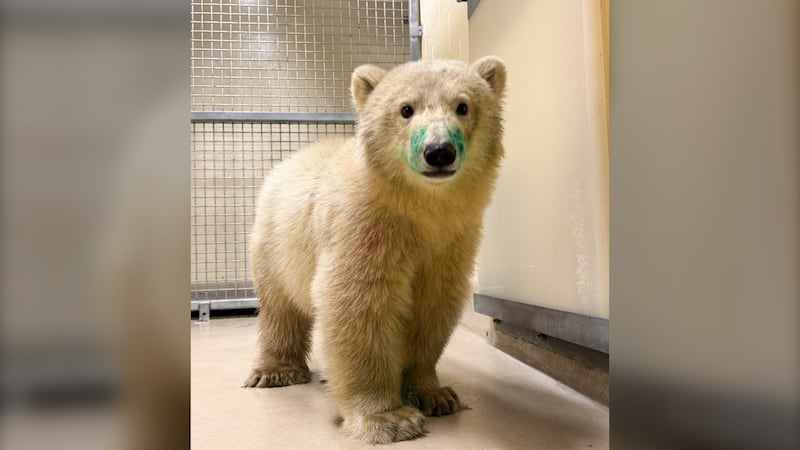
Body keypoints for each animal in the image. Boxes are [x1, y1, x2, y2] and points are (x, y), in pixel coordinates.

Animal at [243, 56, 506, 444]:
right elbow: (359, 303)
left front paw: (435, 394)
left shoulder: (451, 242)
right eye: (405, 109)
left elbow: (432, 305)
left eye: (463, 106)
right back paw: (276, 371)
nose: (439, 151)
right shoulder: (365, 228)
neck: (418, 211)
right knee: (280, 306)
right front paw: (389, 418)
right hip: (276, 242)